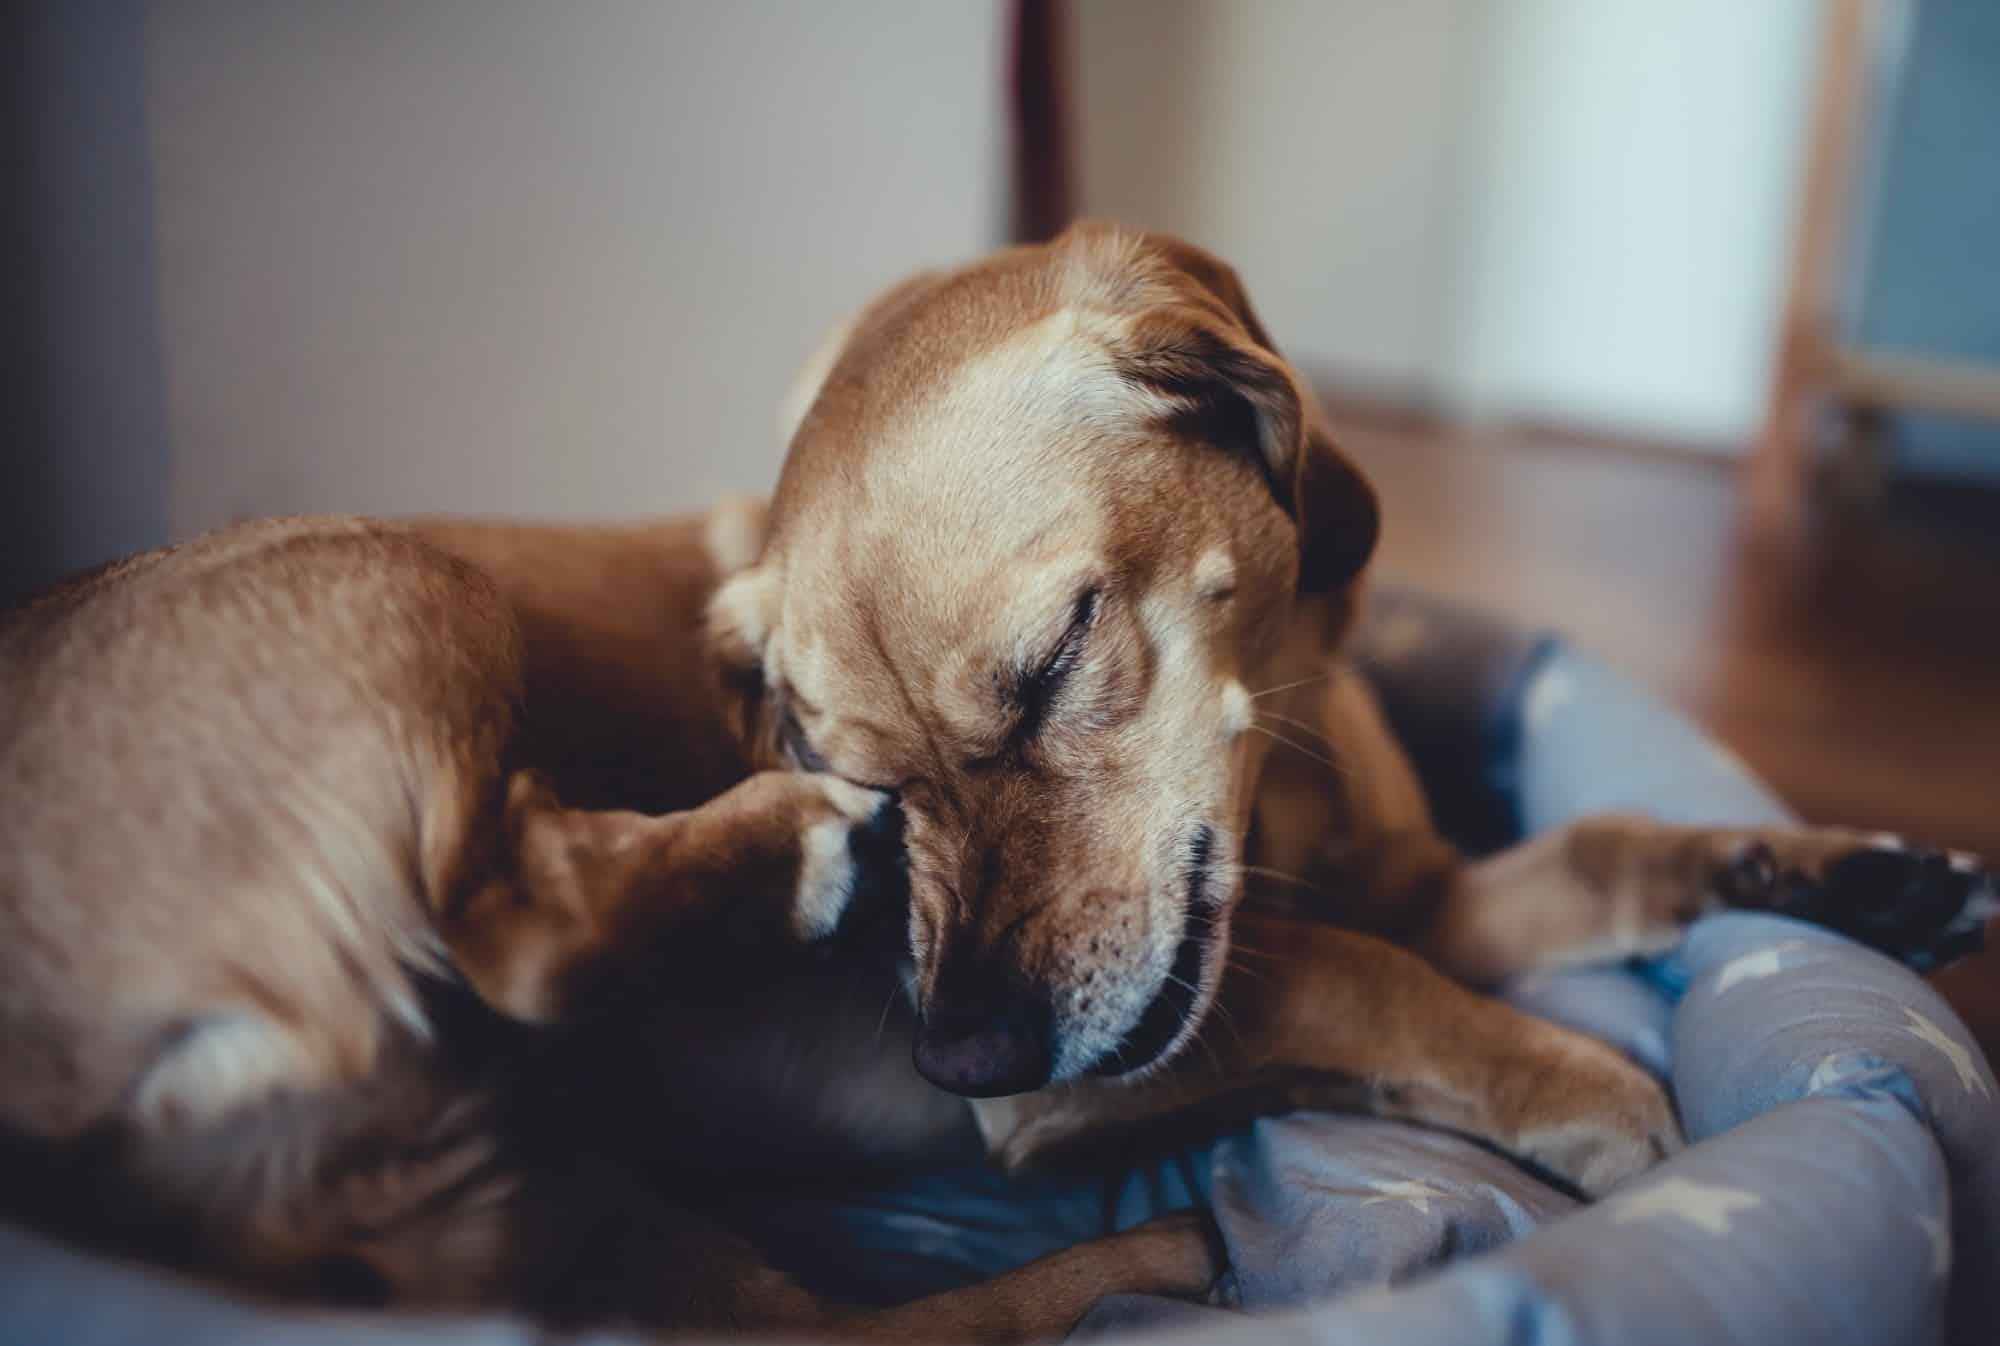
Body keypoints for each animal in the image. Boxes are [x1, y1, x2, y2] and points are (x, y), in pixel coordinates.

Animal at [0, 220, 1984, 1336]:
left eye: (1048, 671)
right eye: (848, 755)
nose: (954, 1051)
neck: (1281, 769)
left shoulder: (1435, 885)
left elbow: (1609, 841)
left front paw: (1850, 875)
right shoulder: (1107, 1076)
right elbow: (1371, 979)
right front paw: (1583, 1087)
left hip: (595, 1222)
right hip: (404, 581)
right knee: (520, 933)